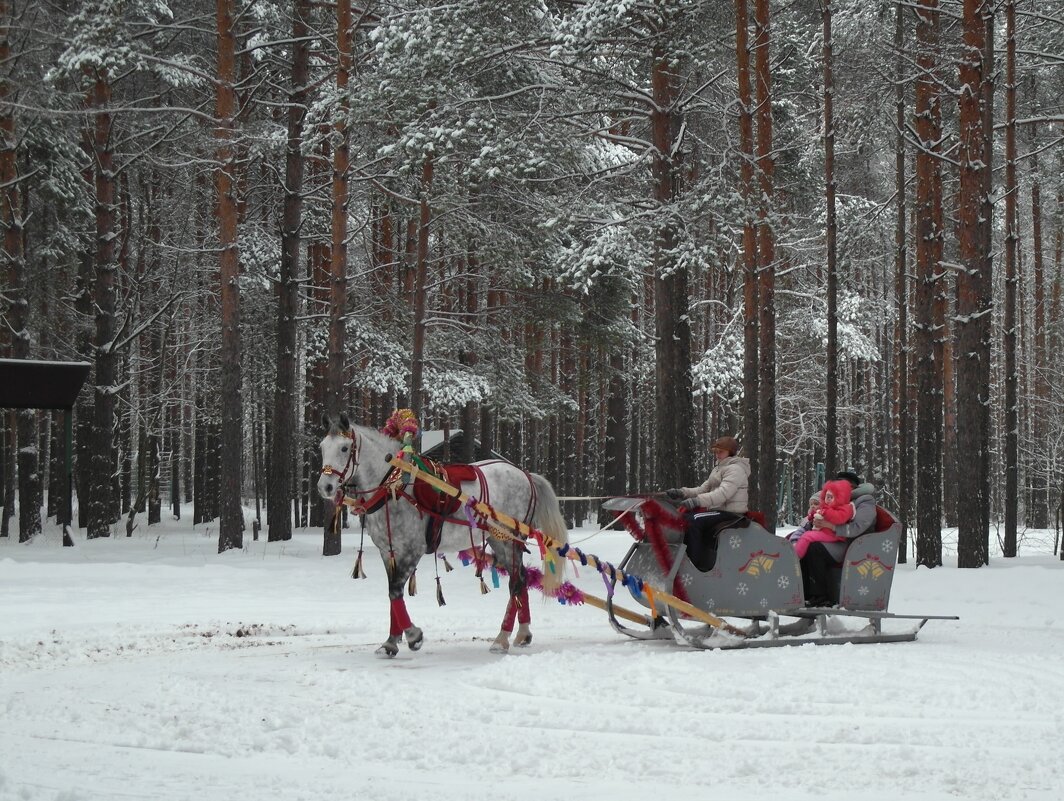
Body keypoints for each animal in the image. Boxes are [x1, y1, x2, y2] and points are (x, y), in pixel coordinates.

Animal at [314, 412, 570, 655]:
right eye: (322, 447)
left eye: (344, 448)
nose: (325, 487)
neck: (394, 486)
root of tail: (525, 474)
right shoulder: (388, 551)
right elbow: (393, 595)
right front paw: (391, 642)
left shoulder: (412, 549)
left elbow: (395, 592)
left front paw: (413, 636)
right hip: (502, 542)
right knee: (522, 580)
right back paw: (522, 634)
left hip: (506, 540)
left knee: (516, 583)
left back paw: (502, 638)